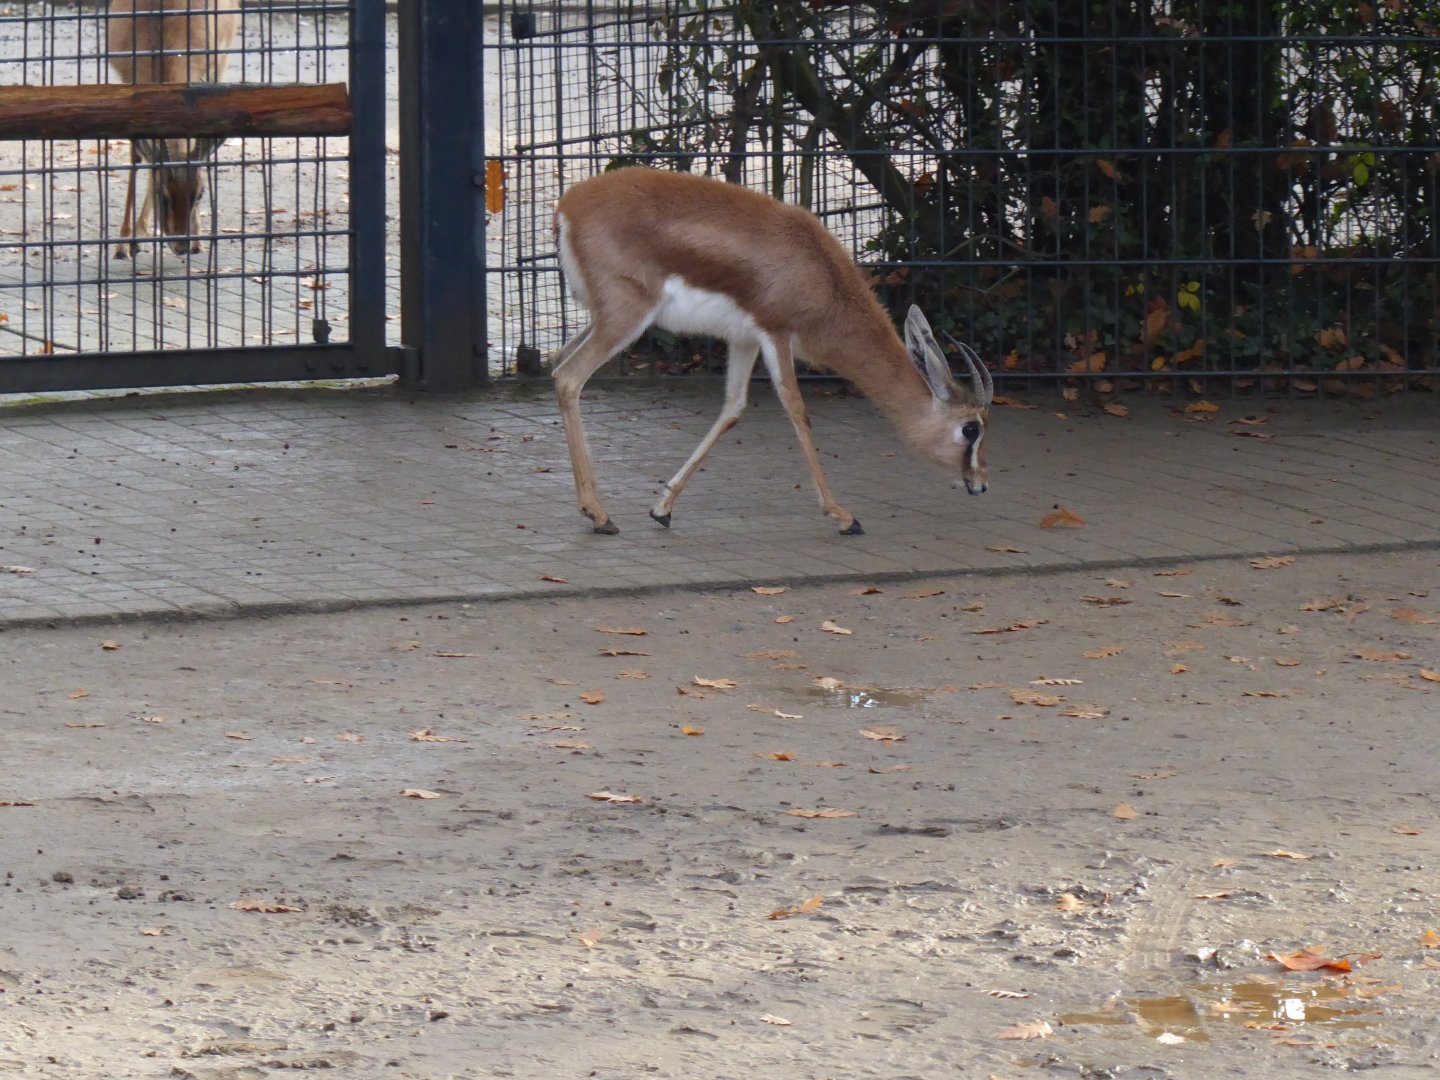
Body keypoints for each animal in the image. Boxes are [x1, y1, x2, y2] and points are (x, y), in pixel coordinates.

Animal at [106, 0, 240, 258]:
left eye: (200, 194)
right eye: (163, 195)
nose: (182, 245)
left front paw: (198, 240)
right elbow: (137, 158)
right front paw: (123, 243)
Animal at [551, 168, 994, 535]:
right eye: (971, 428)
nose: (982, 484)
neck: (821, 277)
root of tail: (568, 204)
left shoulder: (744, 340)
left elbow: (733, 408)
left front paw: (663, 508)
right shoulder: (776, 334)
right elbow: (797, 410)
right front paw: (844, 516)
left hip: (603, 320)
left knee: (558, 363)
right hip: (625, 319)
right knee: (570, 377)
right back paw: (599, 515)